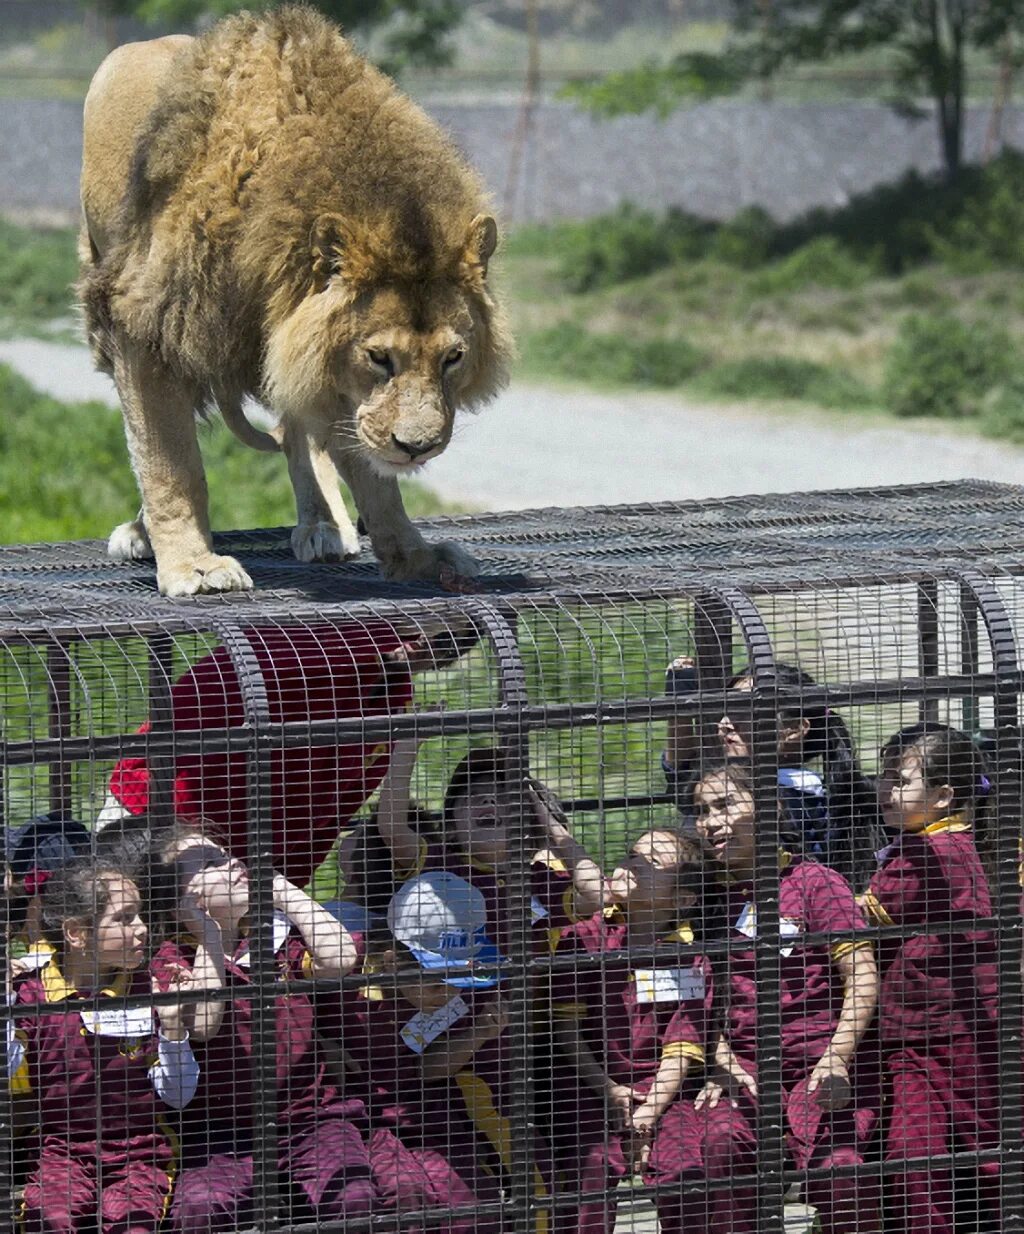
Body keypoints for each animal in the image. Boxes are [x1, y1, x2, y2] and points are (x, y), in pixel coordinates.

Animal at [77, 3, 513, 592]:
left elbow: (372, 476)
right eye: (380, 357)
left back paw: (325, 525)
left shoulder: (325, 363)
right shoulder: (144, 324)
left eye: (453, 358)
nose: (417, 447)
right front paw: (194, 564)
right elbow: (169, 460)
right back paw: (146, 533)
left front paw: (414, 557)